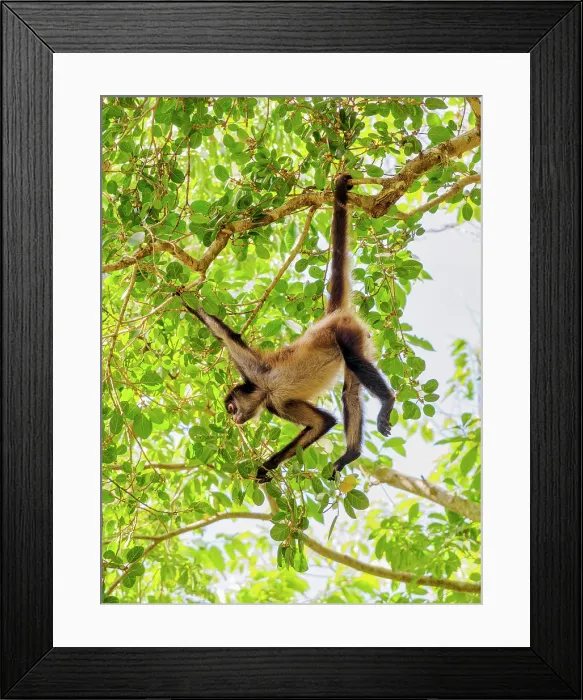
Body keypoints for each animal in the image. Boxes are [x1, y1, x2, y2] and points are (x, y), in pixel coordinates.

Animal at [179, 173, 395, 483]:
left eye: (231, 408)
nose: (235, 420)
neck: (264, 389)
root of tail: (332, 316)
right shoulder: (274, 402)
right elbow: (321, 424)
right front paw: (264, 469)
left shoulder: (266, 386)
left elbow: (226, 335)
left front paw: (180, 295)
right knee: (350, 391)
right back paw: (351, 453)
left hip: (345, 331)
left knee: (354, 360)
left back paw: (387, 401)